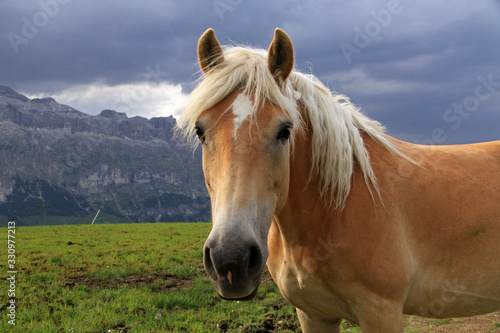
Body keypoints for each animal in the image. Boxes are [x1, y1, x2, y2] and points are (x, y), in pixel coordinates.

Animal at [179, 29, 500, 332]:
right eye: (200, 131)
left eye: (284, 130)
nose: (231, 260)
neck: (333, 209)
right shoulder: (314, 314)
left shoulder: (381, 313)